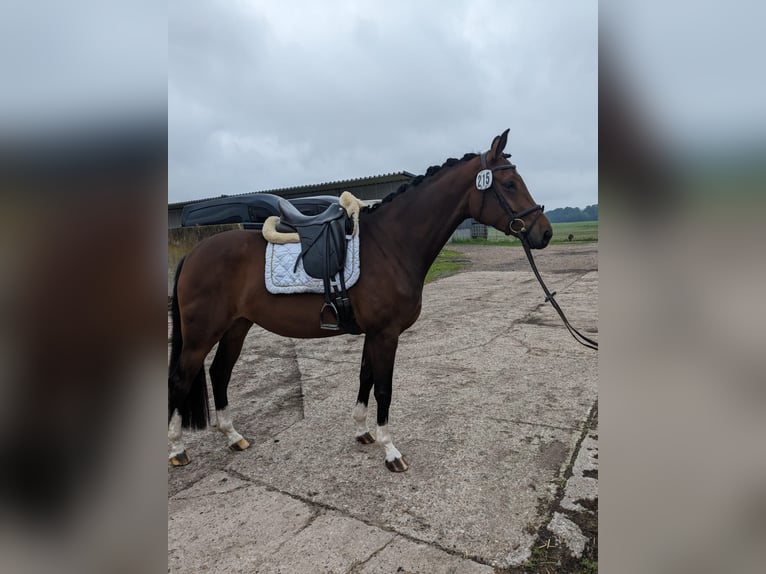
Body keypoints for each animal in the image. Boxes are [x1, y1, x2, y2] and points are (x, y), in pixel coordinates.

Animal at [168, 130, 552, 472]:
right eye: (509, 184)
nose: (544, 232)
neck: (390, 243)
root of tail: (194, 253)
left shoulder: (374, 334)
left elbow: (365, 379)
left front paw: (362, 432)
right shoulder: (386, 334)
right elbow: (383, 389)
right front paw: (391, 451)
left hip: (237, 326)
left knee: (219, 373)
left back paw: (233, 437)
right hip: (202, 334)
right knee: (181, 379)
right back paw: (177, 450)